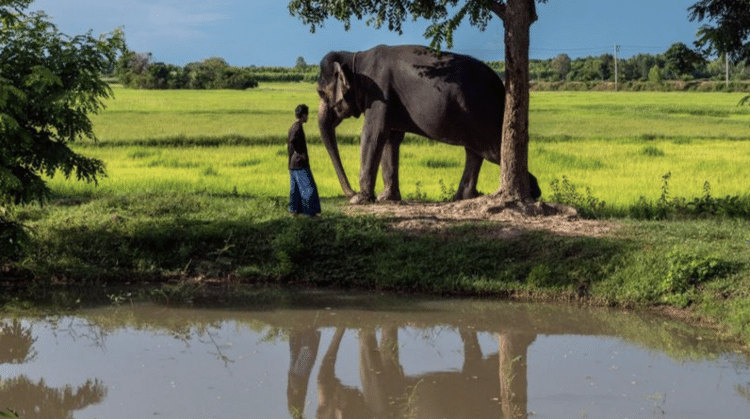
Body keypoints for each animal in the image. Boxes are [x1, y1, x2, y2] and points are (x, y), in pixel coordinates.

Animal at [316, 43, 540, 204]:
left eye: (320, 93)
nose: (351, 192)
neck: (355, 57)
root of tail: (500, 85)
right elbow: (390, 139)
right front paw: (385, 198)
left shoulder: (380, 94)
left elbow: (373, 134)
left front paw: (361, 200)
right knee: (475, 152)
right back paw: (463, 198)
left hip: (484, 114)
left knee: (493, 150)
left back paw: (532, 192)